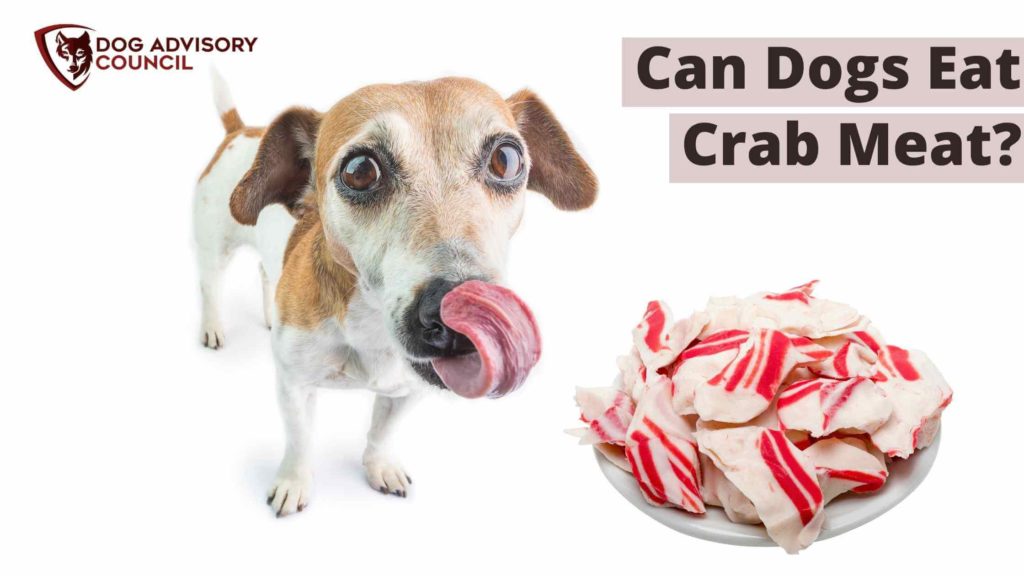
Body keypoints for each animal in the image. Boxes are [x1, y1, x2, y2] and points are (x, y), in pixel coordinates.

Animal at [192, 70, 598, 516]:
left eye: (506, 159)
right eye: (359, 170)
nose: (453, 318)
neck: (369, 331)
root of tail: (243, 129)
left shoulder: (408, 391)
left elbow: (381, 432)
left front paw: (380, 467)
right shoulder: (293, 386)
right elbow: (300, 442)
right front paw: (292, 483)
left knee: (266, 272)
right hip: (213, 250)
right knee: (210, 287)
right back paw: (212, 328)